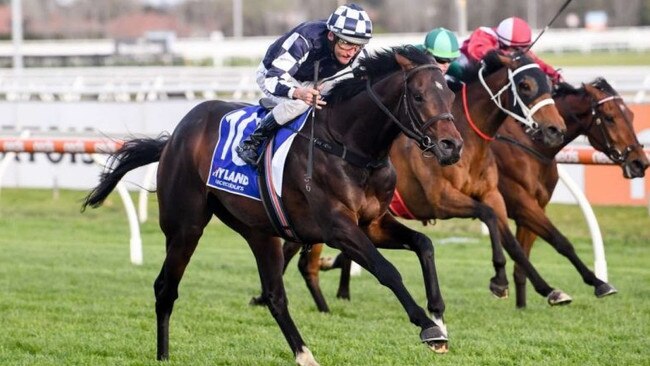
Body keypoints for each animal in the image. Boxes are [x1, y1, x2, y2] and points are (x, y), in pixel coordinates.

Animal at [81, 47, 464, 364]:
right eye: (418, 96)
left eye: (448, 93)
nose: (452, 146)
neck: (349, 146)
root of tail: (174, 138)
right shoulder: (338, 227)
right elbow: (388, 270)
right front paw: (427, 327)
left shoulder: (372, 223)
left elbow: (424, 245)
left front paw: (439, 316)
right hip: (185, 227)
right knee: (165, 287)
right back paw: (163, 355)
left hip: (258, 231)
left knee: (274, 296)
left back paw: (305, 355)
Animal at [256, 50, 568, 312]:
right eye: (525, 85)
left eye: (550, 85)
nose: (555, 129)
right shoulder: (440, 199)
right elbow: (488, 216)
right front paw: (500, 280)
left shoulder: (492, 193)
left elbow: (508, 237)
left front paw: (548, 289)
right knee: (298, 256)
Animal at [494, 78, 644, 308]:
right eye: (610, 118)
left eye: (632, 115)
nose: (640, 163)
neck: (528, 142)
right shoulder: (521, 204)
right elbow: (561, 241)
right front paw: (598, 283)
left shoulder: (535, 206)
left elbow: (522, 256)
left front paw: (522, 306)